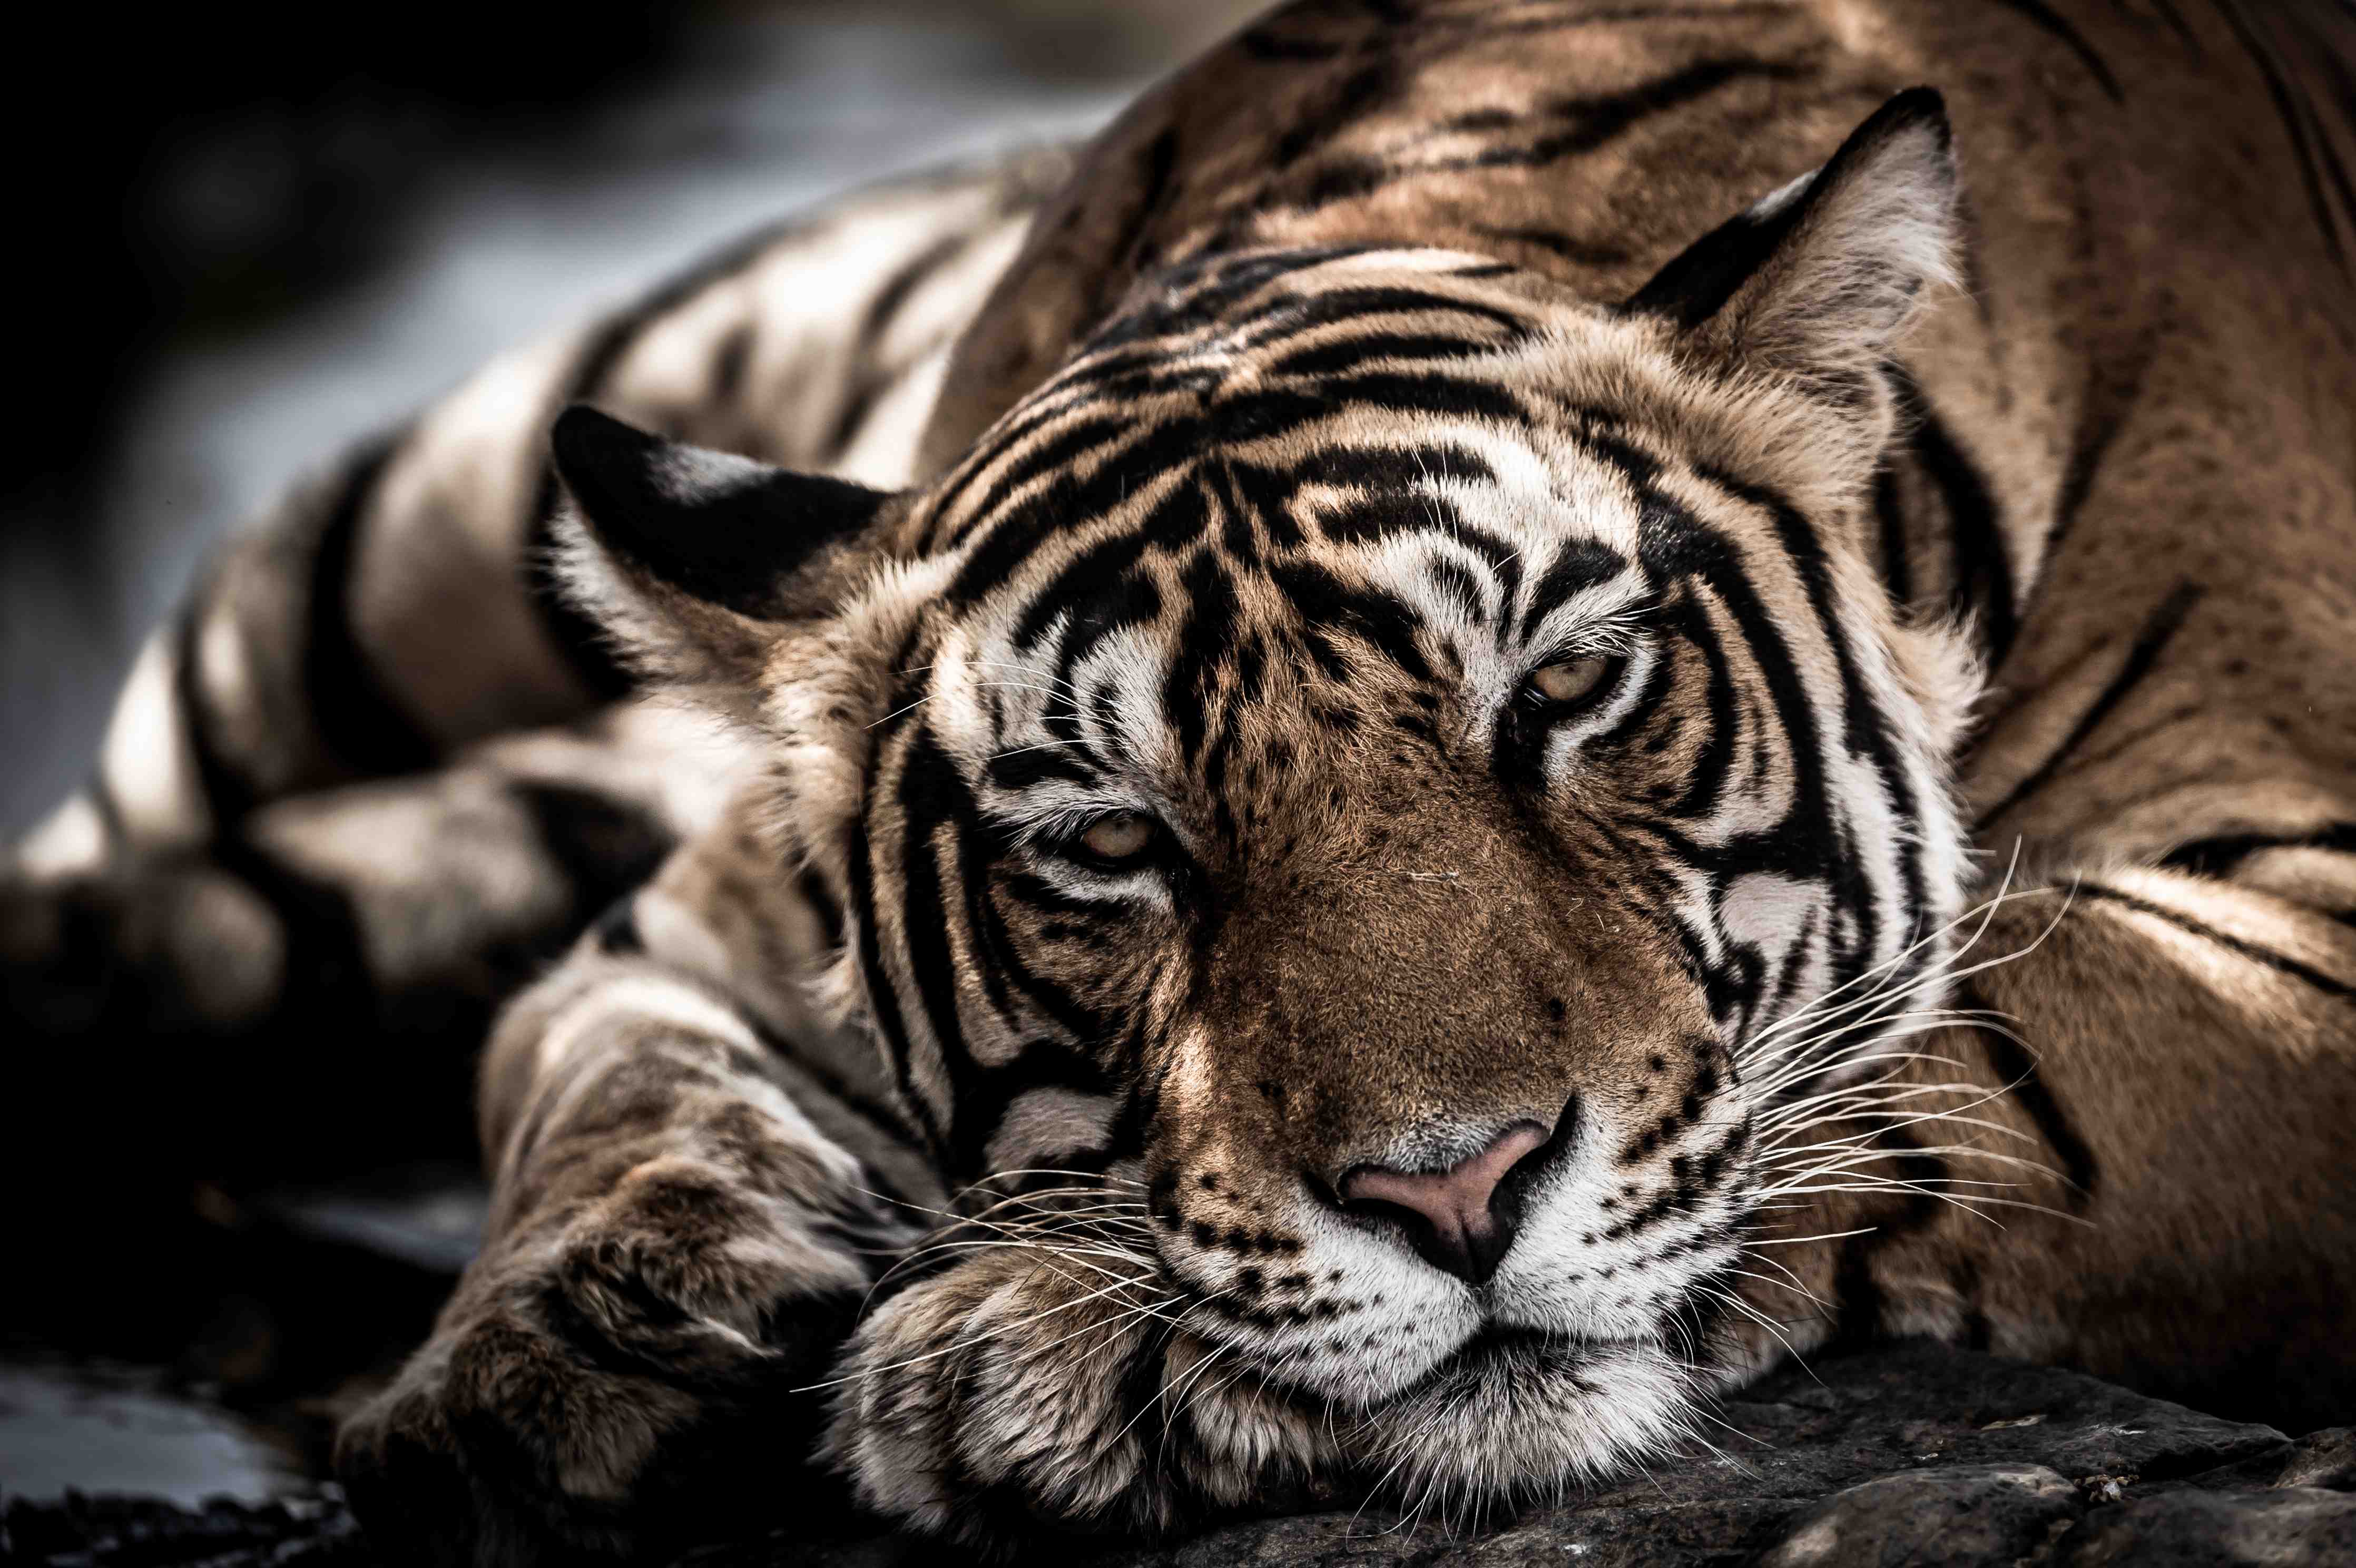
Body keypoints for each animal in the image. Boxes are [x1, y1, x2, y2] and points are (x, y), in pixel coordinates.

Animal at [13, 0, 2356, 1563]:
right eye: (1107, 842)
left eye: (1567, 686)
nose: (1453, 1196)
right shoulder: (683, 925)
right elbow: (595, 1075)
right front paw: (540, 1358)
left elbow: (1987, 1039)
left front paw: (1054, 1348)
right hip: (373, 558)